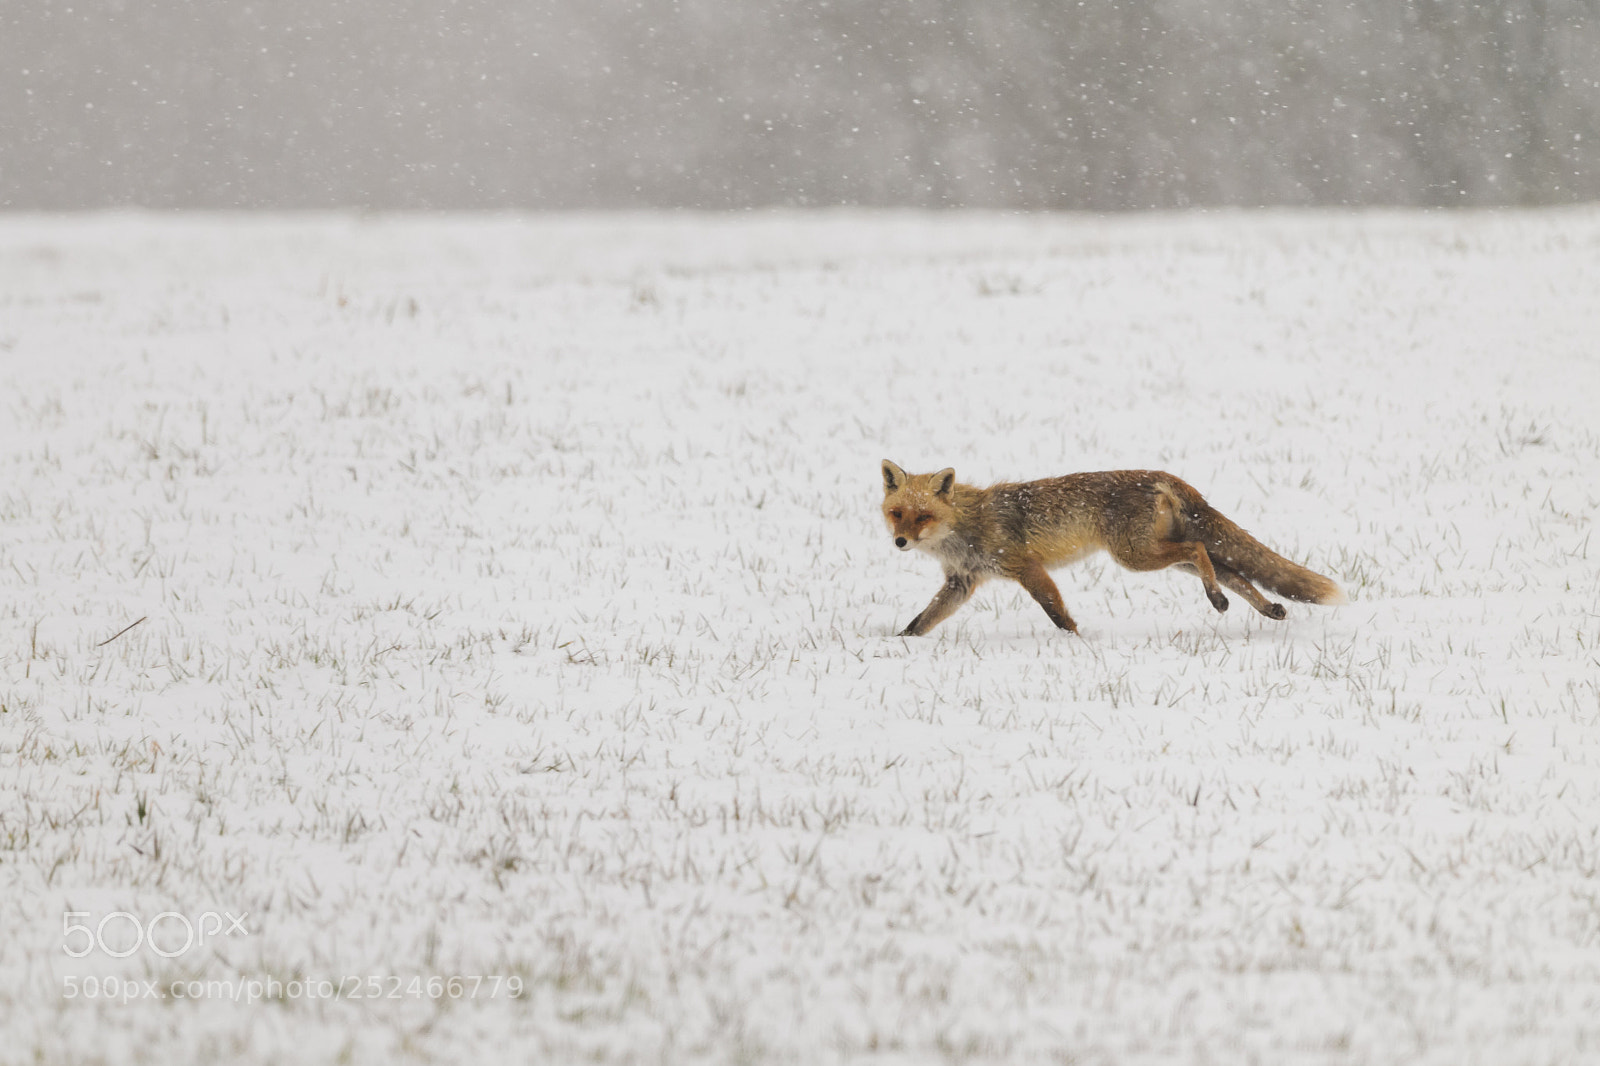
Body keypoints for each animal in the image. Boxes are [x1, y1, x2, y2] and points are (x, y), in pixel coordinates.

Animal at [881, 460, 1346, 636]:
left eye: (923, 516)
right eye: (897, 513)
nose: (900, 542)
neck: (965, 527)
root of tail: (1159, 473)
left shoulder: (1025, 567)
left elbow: (1056, 611)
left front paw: (1075, 641)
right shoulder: (961, 582)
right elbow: (920, 622)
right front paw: (898, 646)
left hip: (1135, 557)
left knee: (1199, 548)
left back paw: (1218, 601)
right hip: (1157, 554)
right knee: (1227, 570)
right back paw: (1264, 609)